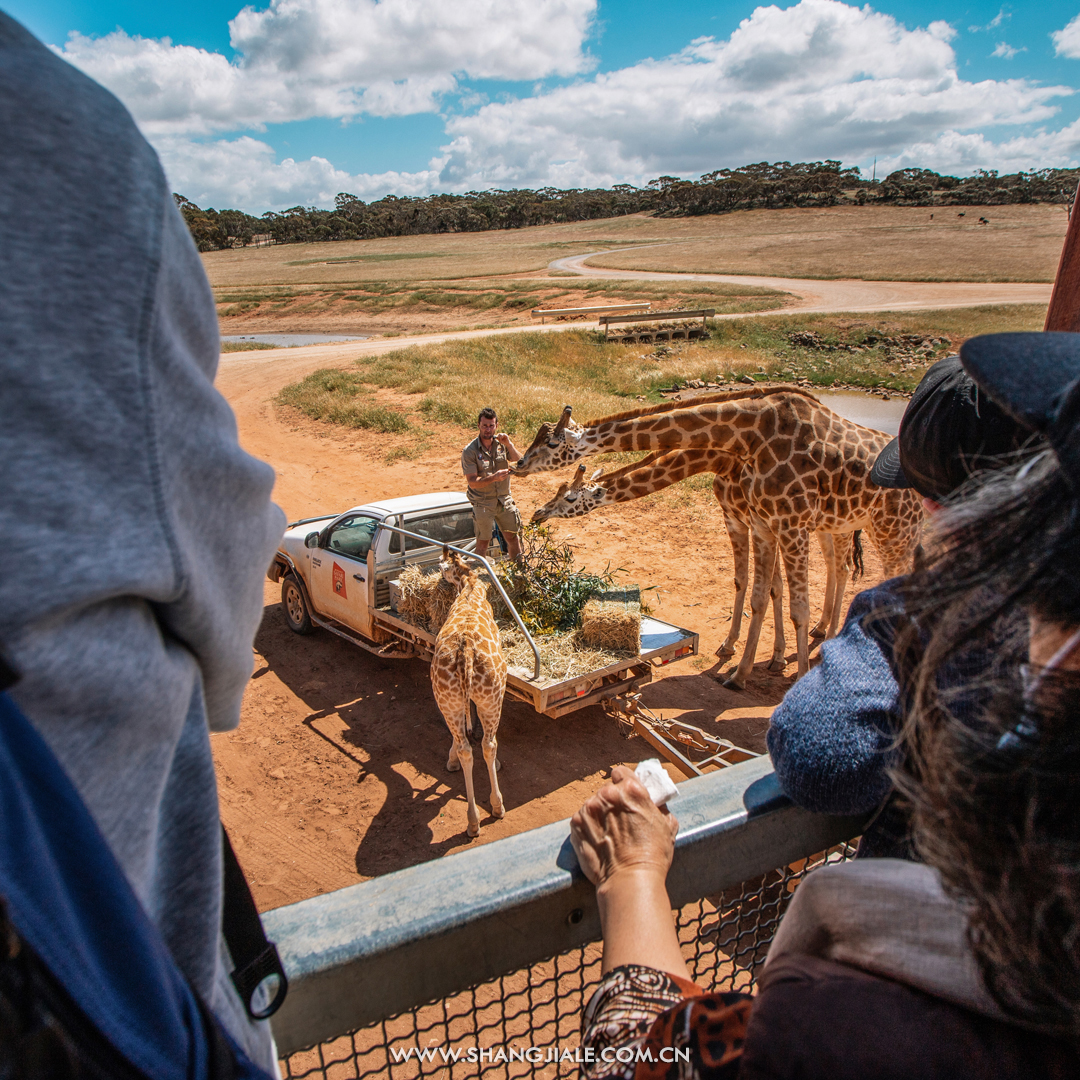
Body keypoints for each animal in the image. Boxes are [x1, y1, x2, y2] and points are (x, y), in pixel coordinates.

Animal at [429, 548, 505, 833]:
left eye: (442, 567)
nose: (440, 578)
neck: (471, 586)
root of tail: (467, 653)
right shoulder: (473, 697)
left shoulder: (460, 698)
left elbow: (464, 722)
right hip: (491, 698)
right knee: (487, 745)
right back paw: (492, 809)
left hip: (448, 698)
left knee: (467, 749)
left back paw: (476, 819)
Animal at [511, 388, 920, 686]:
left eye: (551, 445)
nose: (517, 466)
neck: (743, 441)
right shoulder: (754, 522)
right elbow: (758, 589)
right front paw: (744, 661)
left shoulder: (785, 523)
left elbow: (788, 602)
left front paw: (780, 667)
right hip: (844, 525)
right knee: (843, 568)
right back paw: (828, 636)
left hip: (892, 531)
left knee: (868, 581)